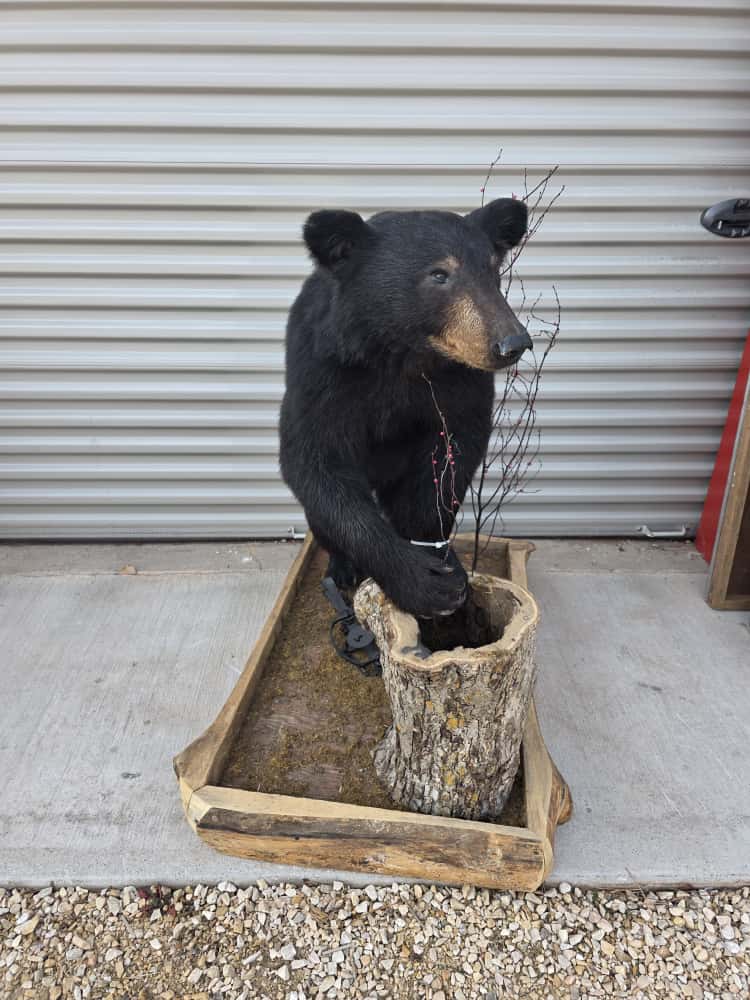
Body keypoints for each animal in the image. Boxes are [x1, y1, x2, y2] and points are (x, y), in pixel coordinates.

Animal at [279, 198, 531, 619]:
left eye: (493, 269)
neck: (402, 355)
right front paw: (420, 582)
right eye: (439, 274)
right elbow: (316, 461)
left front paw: (443, 563)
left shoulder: (460, 381)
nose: (513, 343)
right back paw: (342, 567)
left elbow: (451, 456)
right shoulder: (322, 371)